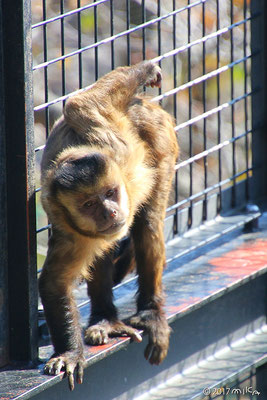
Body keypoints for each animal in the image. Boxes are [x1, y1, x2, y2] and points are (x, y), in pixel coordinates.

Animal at [38, 61, 179, 390]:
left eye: (111, 193)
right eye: (90, 205)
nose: (110, 213)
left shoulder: (117, 150)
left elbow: (81, 105)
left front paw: (147, 70)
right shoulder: (67, 227)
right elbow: (54, 283)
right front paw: (70, 352)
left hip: (161, 138)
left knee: (148, 224)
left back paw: (151, 312)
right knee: (103, 250)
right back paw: (105, 320)